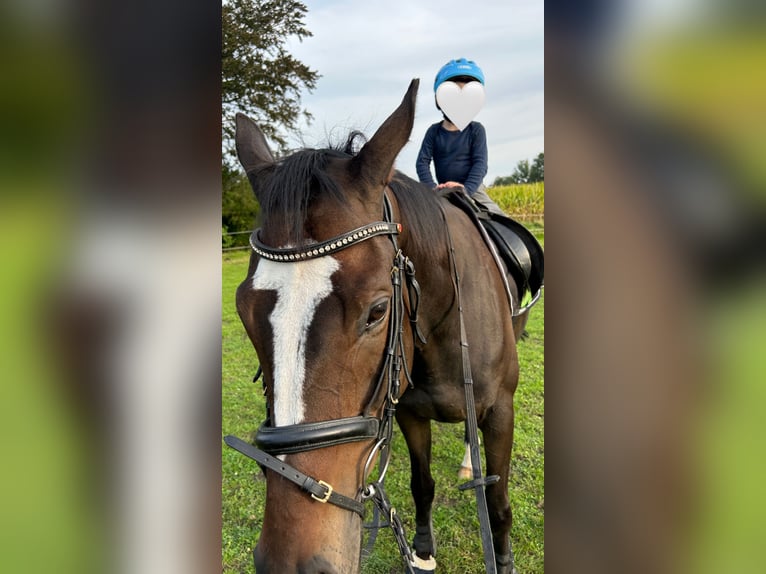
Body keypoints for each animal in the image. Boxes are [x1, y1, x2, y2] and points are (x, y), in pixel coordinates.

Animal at [228, 80, 528, 574]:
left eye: (378, 311)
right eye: (243, 311)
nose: (291, 563)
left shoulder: (501, 409)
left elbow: (498, 500)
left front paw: (502, 559)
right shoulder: (406, 411)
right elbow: (422, 485)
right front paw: (422, 552)